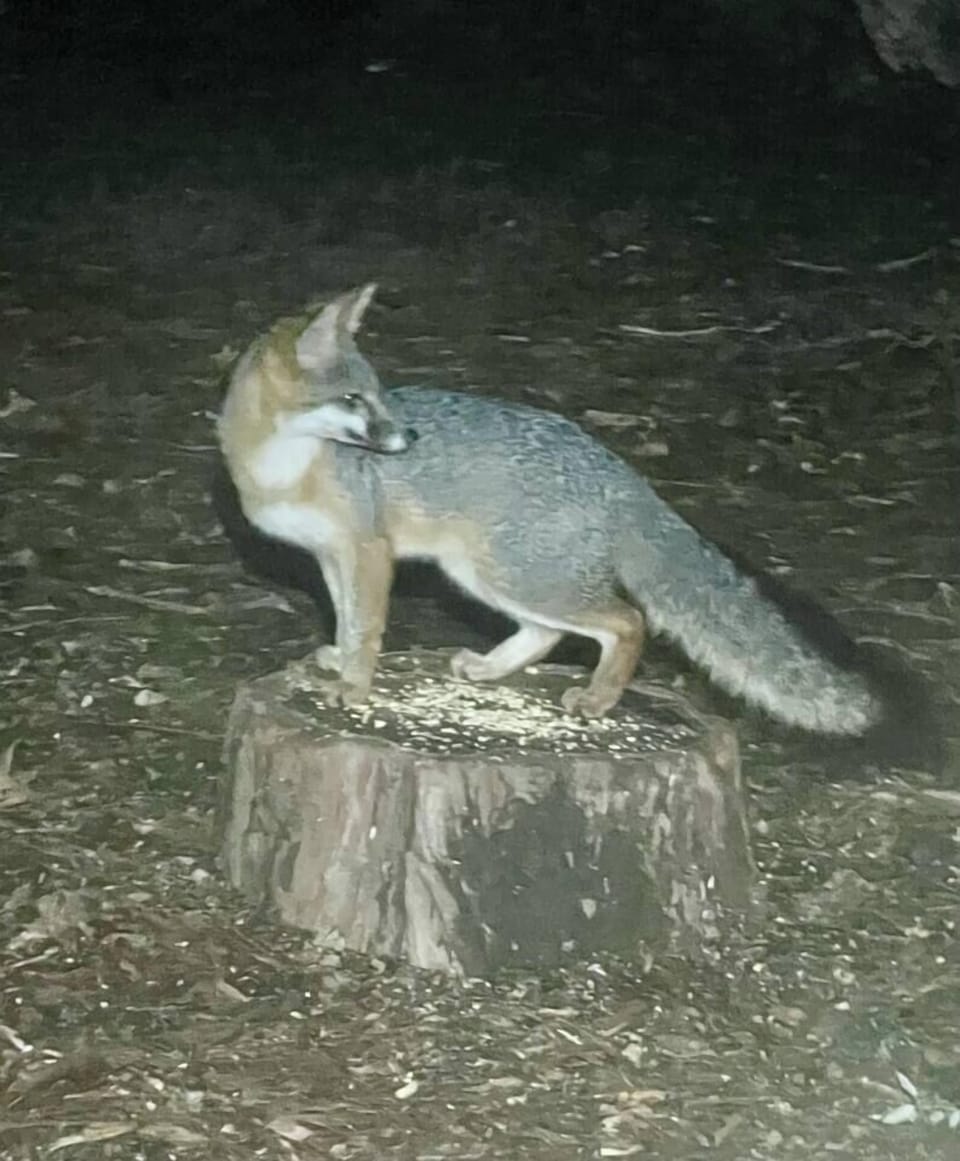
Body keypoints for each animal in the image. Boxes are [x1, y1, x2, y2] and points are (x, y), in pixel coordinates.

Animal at [217, 283, 883, 734]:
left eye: (379, 395)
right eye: (355, 399)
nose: (409, 438)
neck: (281, 468)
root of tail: (619, 470)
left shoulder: (369, 551)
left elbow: (367, 627)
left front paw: (355, 685)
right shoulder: (332, 556)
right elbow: (345, 618)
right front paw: (339, 662)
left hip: (508, 575)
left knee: (627, 622)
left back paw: (598, 699)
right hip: (487, 577)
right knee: (548, 632)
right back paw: (493, 669)